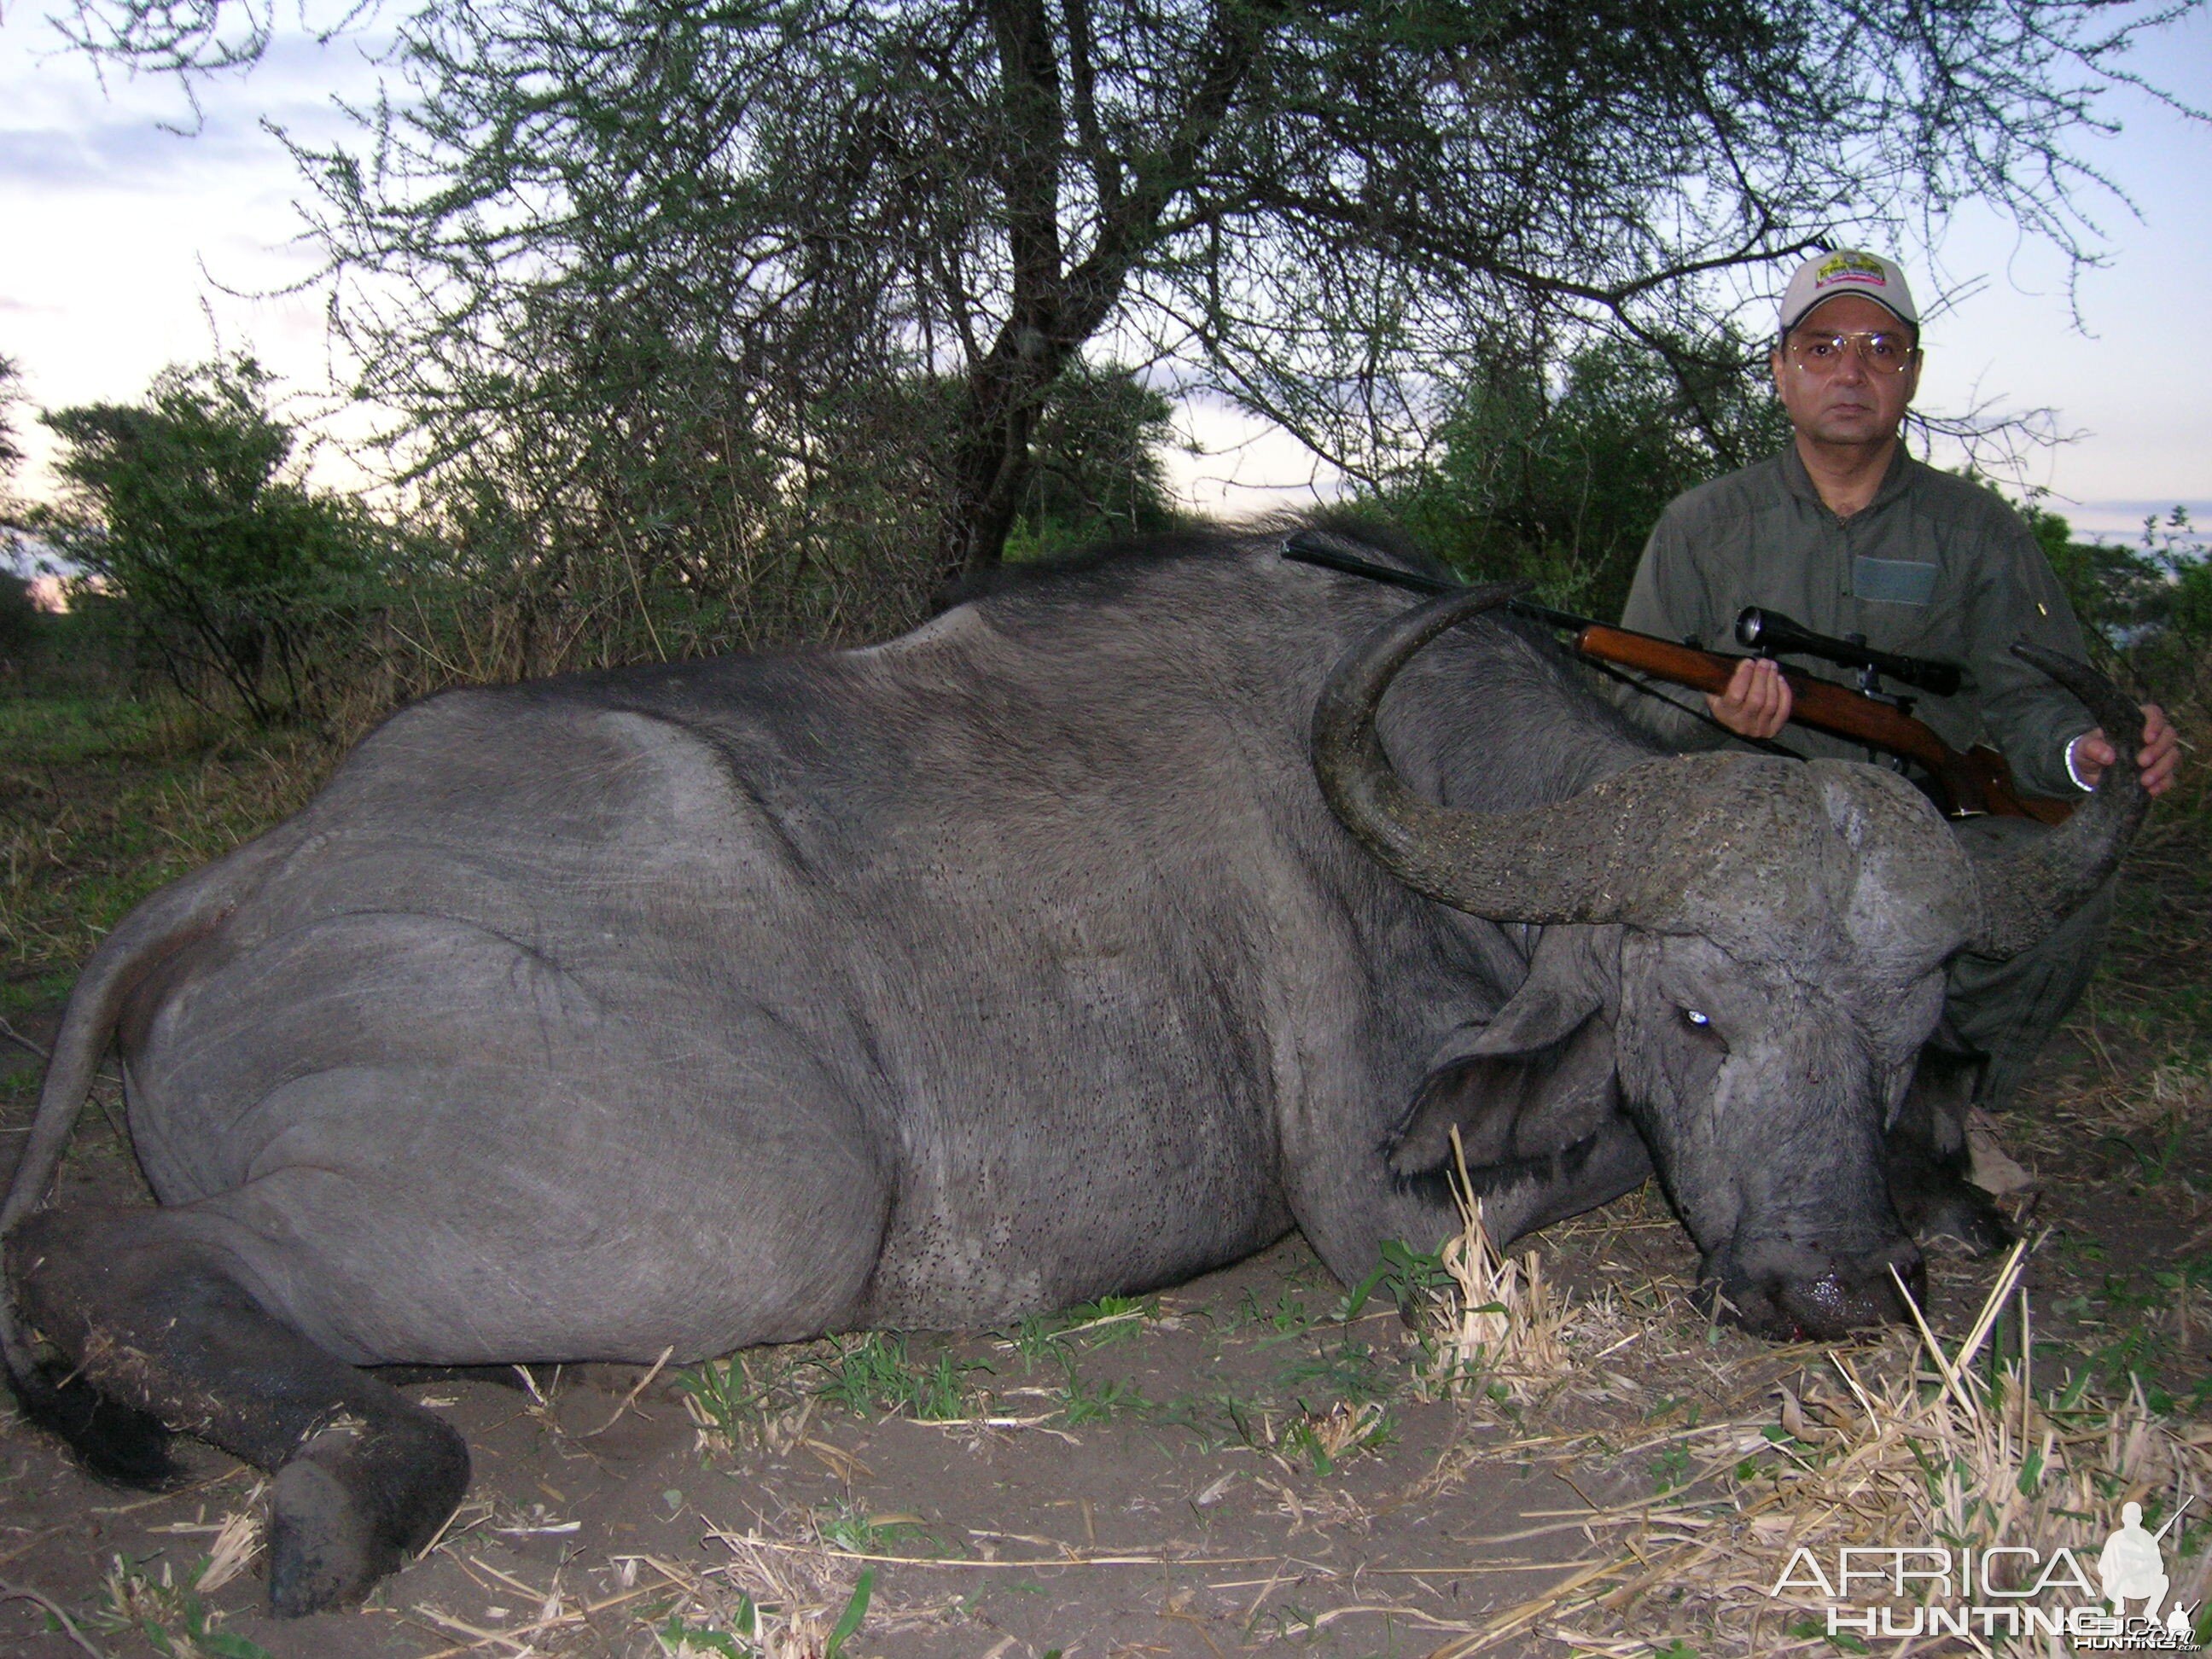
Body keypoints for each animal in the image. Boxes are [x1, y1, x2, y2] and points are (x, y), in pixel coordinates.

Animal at [0, 520, 2141, 1610]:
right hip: (763, 1198)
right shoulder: (1382, 1210)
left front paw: (1953, 1175)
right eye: (1696, 1015)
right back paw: (339, 1490)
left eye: (1897, 1031)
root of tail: (261, 872)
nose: (1821, 1287)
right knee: (126, 1258)